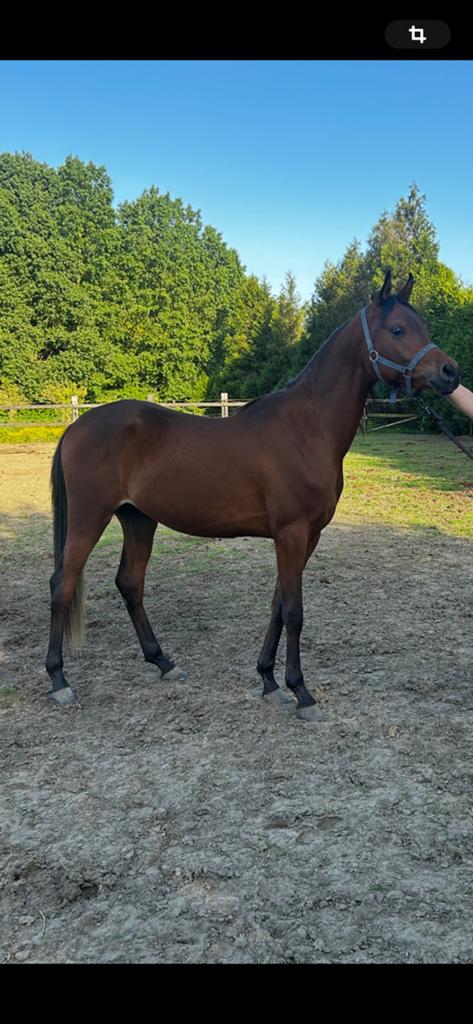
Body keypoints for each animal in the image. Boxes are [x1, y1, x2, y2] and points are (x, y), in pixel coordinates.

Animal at [46, 270, 459, 719]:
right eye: (398, 329)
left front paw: (268, 680)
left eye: (423, 327)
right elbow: (294, 611)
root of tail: (76, 426)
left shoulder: (307, 536)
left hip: (139, 519)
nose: (450, 372)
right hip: (90, 518)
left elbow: (278, 605)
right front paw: (301, 692)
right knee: (63, 583)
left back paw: (163, 662)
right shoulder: (291, 533)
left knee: (130, 583)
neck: (306, 429)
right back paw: (59, 680)